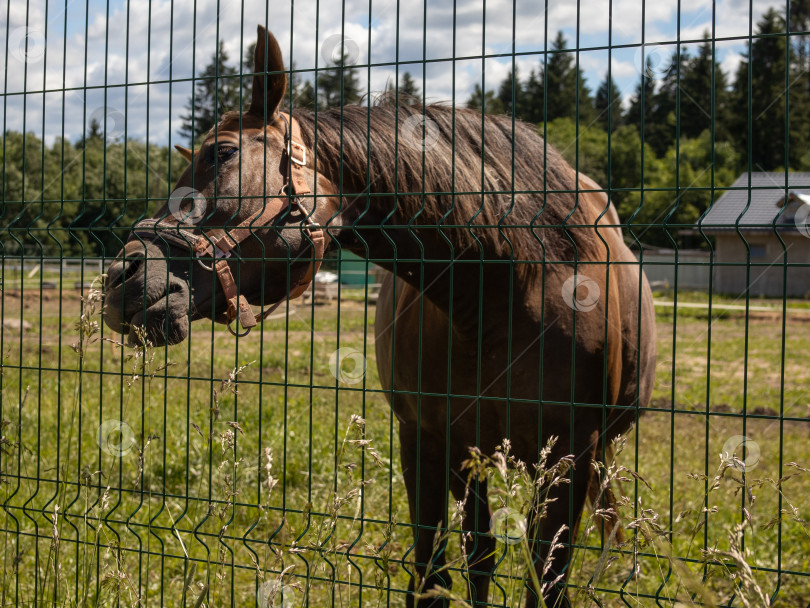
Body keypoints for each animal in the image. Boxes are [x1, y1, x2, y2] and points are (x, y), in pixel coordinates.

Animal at [102, 25, 656, 608]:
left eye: (223, 153)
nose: (123, 279)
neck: (501, 295)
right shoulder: (428, 441)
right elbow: (434, 575)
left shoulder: (570, 459)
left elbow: (543, 587)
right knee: (480, 555)